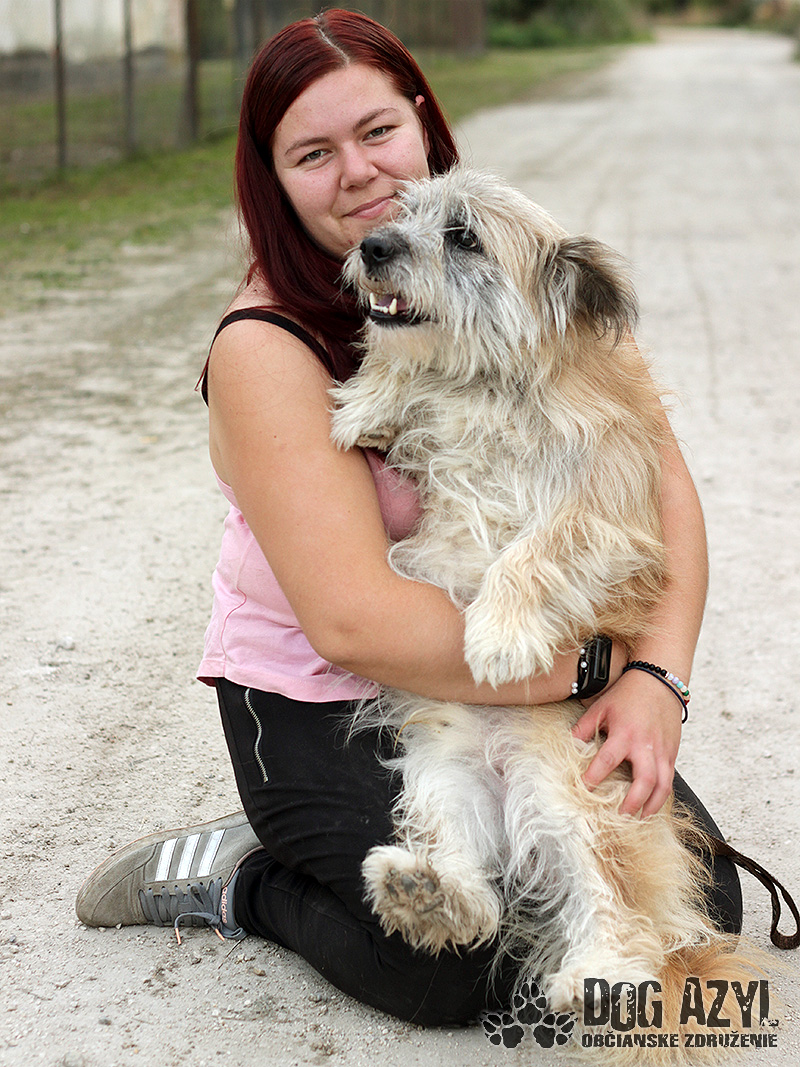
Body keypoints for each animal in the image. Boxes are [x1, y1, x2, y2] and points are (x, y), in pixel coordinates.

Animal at [330, 167, 761, 1059]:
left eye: (463, 236)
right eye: (402, 212)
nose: (372, 246)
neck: (489, 380)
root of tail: (504, 780)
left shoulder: (610, 513)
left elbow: (534, 549)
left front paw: (498, 633)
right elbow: (400, 368)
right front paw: (367, 403)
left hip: (577, 787)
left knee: (626, 919)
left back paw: (596, 975)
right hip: (442, 773)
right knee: (474, 882)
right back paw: (423, 888)